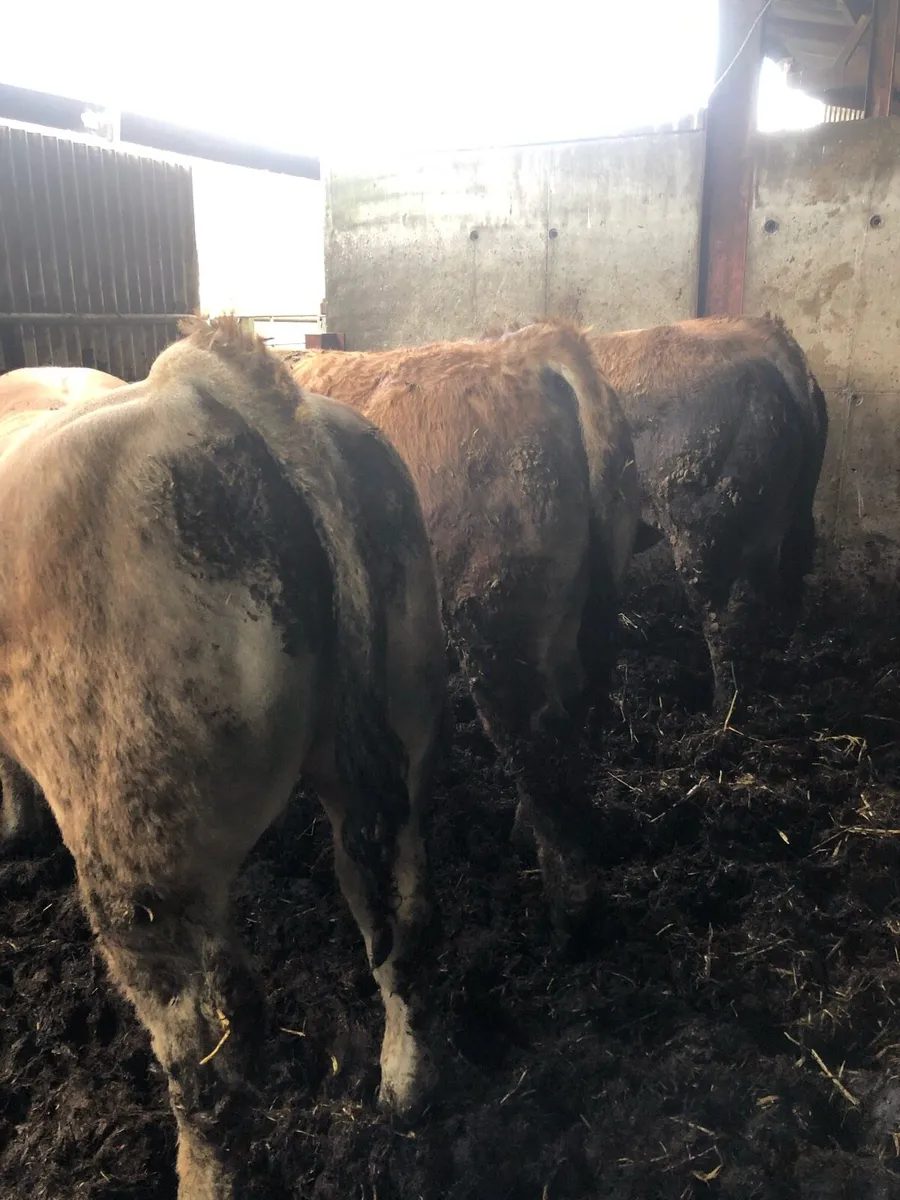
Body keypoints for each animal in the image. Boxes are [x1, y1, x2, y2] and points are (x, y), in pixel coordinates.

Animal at [0, 318, 447, 1199]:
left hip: (136, 853)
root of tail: (195, 394)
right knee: (397, 914)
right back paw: (404, 1084)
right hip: (394, 734)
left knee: (205, 1049)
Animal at [290, 323, 640, 945]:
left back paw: (572, 913)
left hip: (493, 624)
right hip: (568, 620)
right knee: (567, 716)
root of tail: (528, 353)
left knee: (535, 738)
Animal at [583, 315, 828, 712]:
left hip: (701, 531)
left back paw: (722, 708)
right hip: (786, 520)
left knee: (722, 619)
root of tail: (771, 346)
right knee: (778, 593)